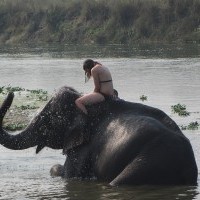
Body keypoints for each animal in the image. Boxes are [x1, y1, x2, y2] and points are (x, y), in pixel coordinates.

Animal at [0, 85, 198, 185]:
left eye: (45, 120)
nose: (11, 92)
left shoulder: (83, 149)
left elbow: (69, 174)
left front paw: (56, 169)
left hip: (146, 162)